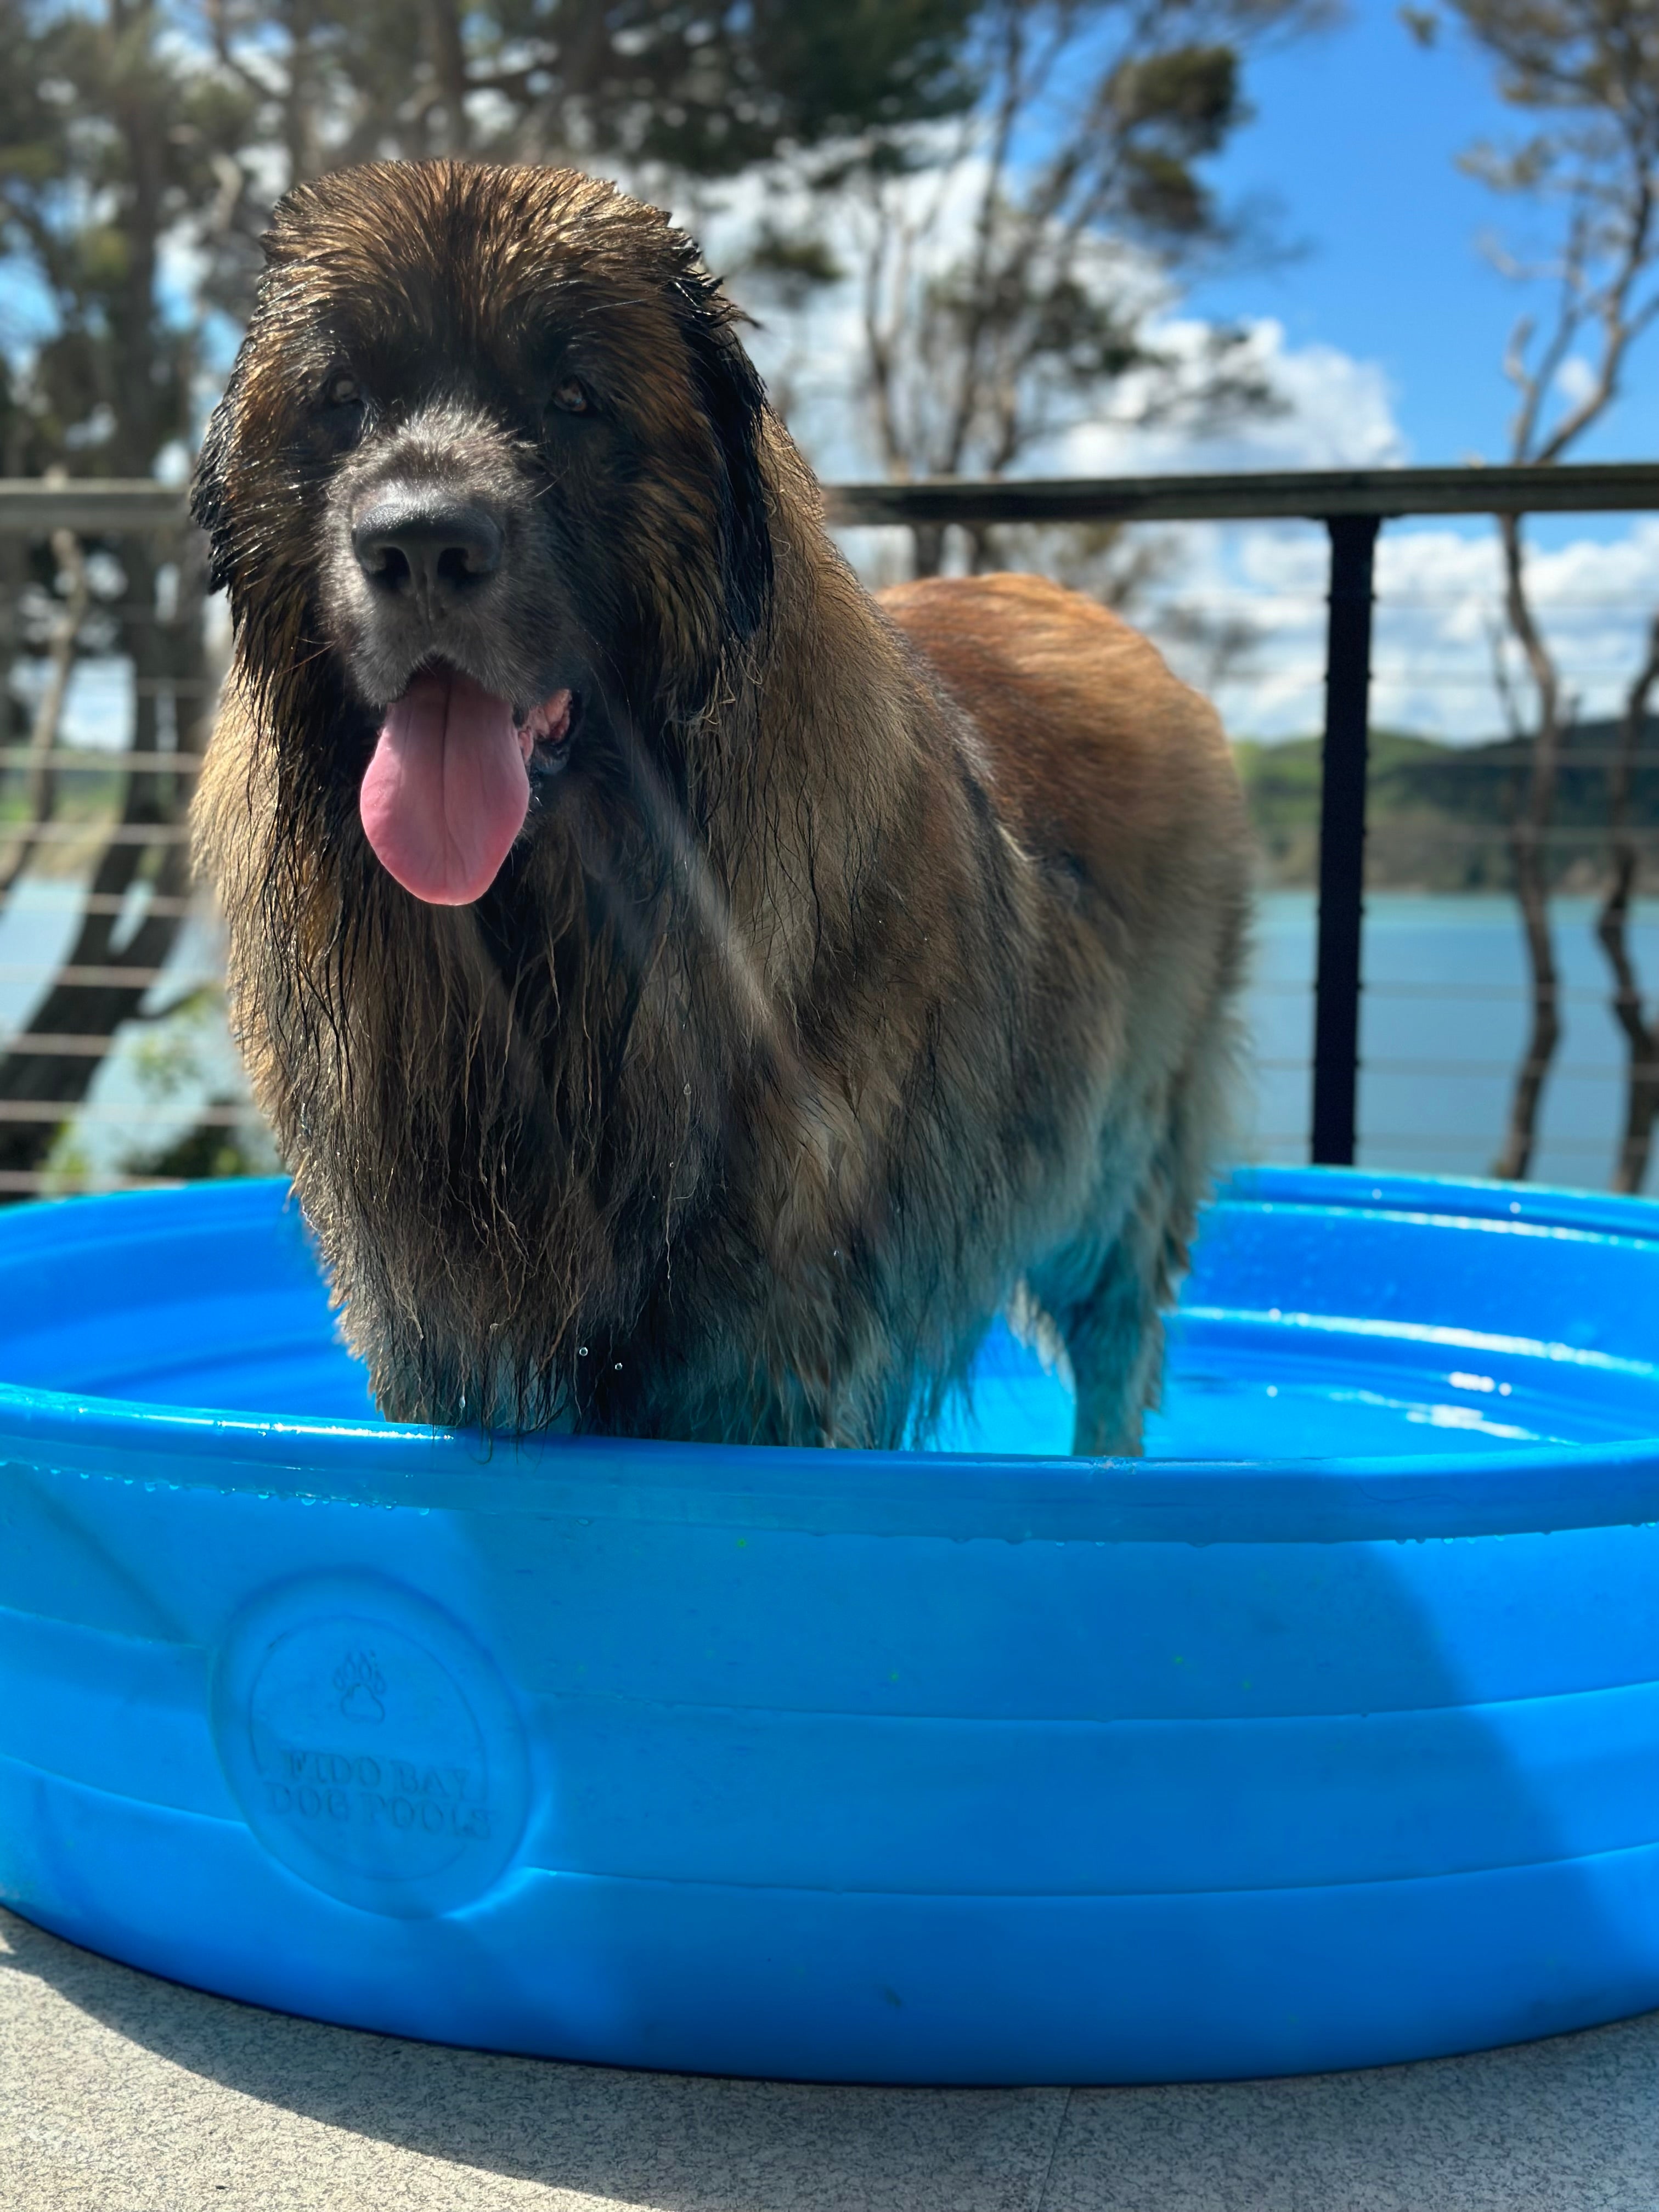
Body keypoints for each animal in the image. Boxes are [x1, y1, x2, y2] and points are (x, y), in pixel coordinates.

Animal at [188, 163, 1256, 1460]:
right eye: (342, 399)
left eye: (574, 396)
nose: (421, 544)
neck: (557, 937)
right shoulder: (423, 1324)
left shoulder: (768, 1362)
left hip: (1118, 1164)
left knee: (1116, 1341)